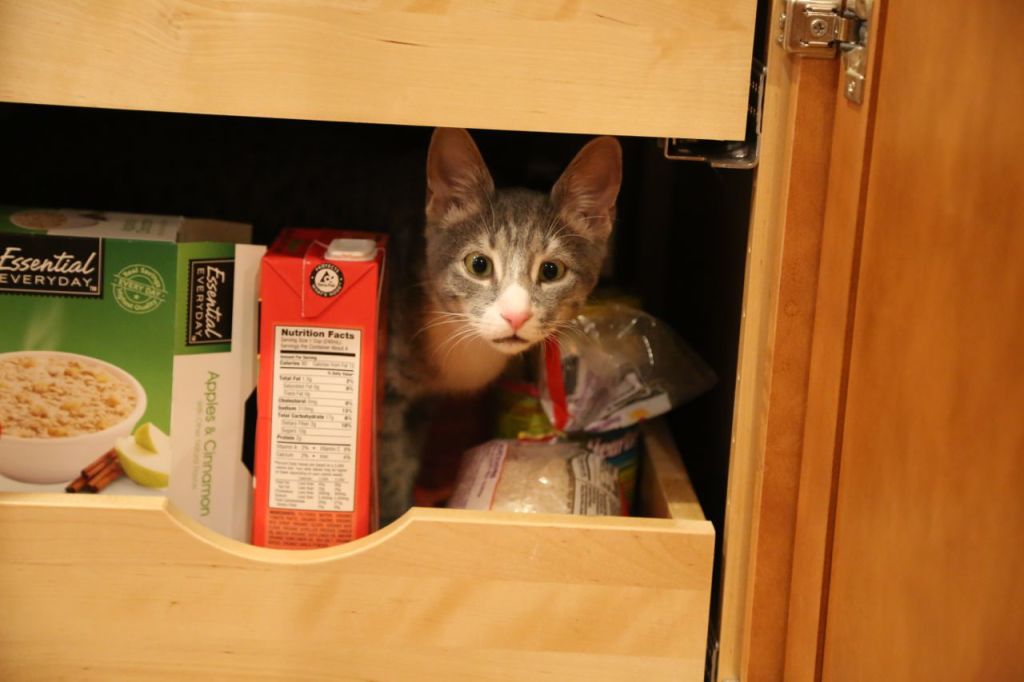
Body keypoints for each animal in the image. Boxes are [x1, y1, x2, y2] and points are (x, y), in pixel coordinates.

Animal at [376, 127, 618, 520]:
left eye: (552, 271)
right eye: (478, 264)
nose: (515, 315)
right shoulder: (390, 395)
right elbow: (391, 462)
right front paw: (391, 515)